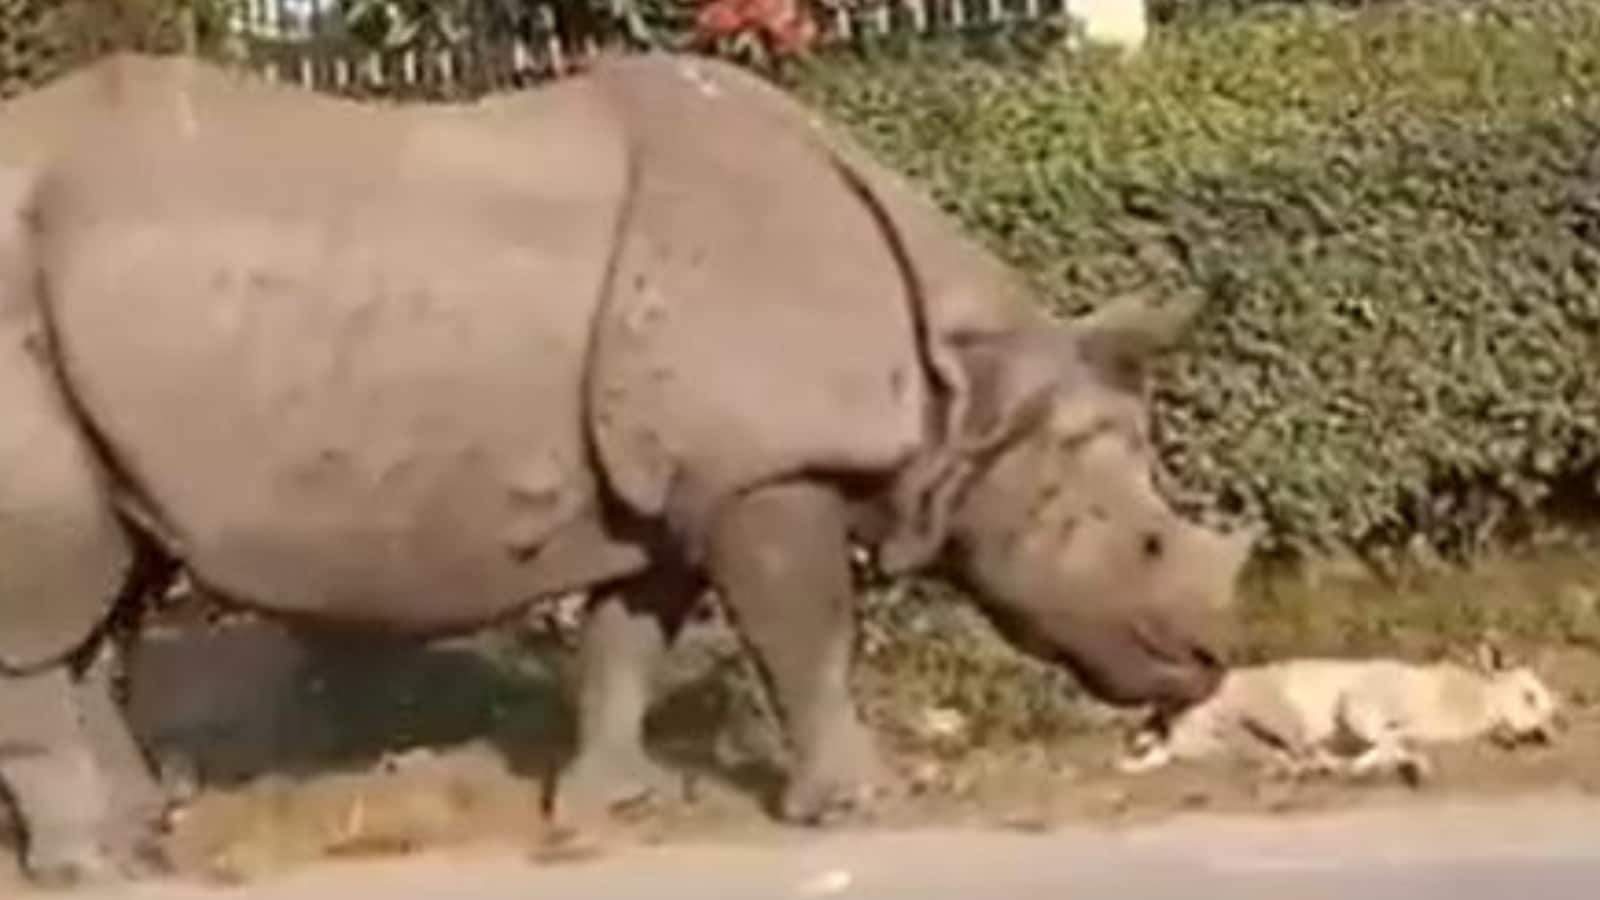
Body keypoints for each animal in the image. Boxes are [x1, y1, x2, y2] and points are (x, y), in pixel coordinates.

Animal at [0, 51, 1253, 885]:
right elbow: (808, 637)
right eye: (1139, 539)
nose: (1208, 664)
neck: (961, 389)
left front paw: (608, 810)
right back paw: (88, 867)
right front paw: (856, 806)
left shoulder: (672, 491)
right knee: (56, 590)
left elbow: (627, 641)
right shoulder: (761, 474)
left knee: (107, 585)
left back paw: (141, 845)